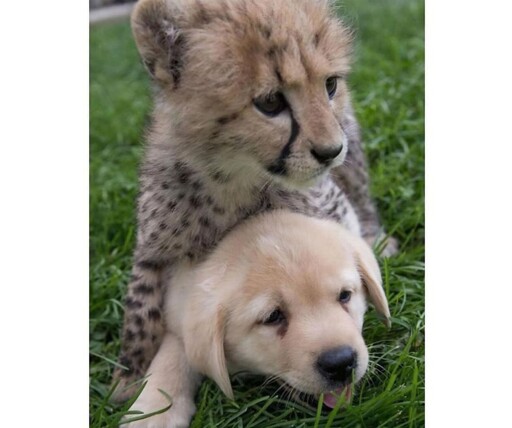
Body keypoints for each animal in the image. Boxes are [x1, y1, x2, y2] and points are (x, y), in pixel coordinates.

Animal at [111, 0, 397, 402]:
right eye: (271, 101)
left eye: (329, 85)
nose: (330, 150)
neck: (234, 182)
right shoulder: (154, 248)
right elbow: (140, 306)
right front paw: (128, 375)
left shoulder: (327, 209)